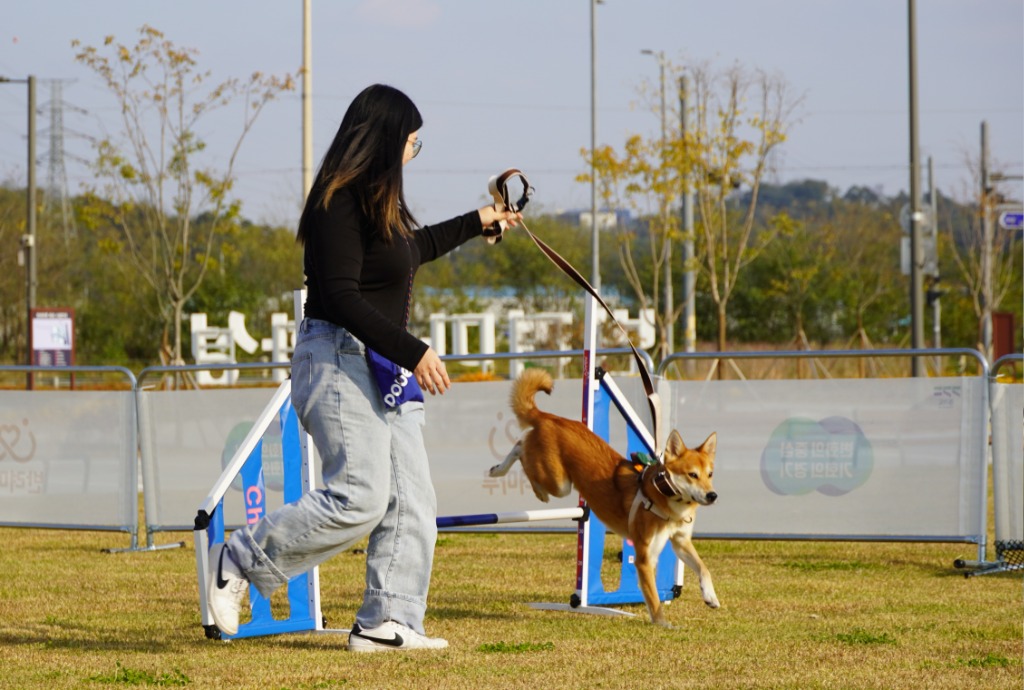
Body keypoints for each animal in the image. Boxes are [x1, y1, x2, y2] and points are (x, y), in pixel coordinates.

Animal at [489, 368, 720, 626]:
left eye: (710, 474)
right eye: (692, 475)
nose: (712, 495)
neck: (666, 497)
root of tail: (551, 418)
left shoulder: (680, 541)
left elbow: (703, 568)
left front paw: (710, 597)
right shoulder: (644, 557)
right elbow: (653, 597)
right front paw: (663, 624)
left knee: (522, 444)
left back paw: (499, 469)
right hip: (559, 483)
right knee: (521, 448)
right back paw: (507, 474)